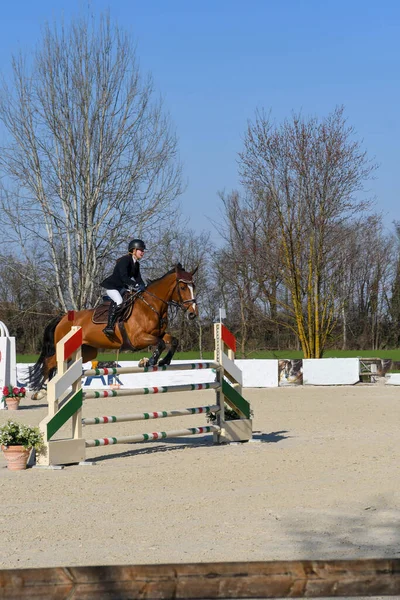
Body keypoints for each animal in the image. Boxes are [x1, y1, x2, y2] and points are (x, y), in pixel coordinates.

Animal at [27, 262, 197, 394]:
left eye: (193, 286)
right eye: (183, 287)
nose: (192, 314)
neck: (151, 306)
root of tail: (62, 318)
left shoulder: (159, 334)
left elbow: (173, 341)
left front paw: (163, 361)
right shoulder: (137, 339)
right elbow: (160, 344)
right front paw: (150, 361)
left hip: (86, 351)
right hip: (64, 348)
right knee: (49, 363)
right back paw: (40, 392)